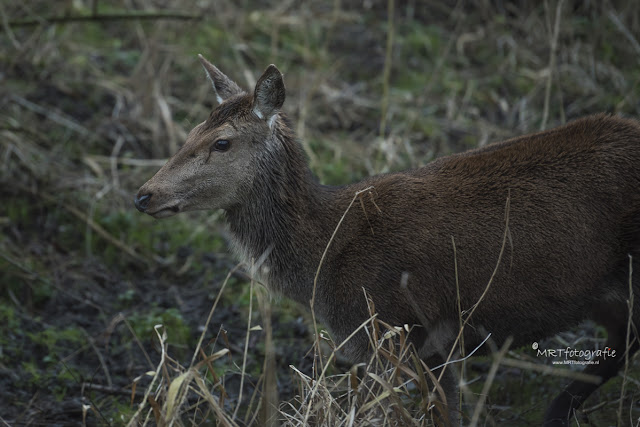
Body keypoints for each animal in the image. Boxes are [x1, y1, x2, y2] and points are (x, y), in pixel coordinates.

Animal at [136, 55, 640, 426]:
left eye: (221, 142)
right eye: (189, 131)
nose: (145, 194)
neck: (322, 262)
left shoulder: (402, 329)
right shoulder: (423, 346)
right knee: (623, 339)